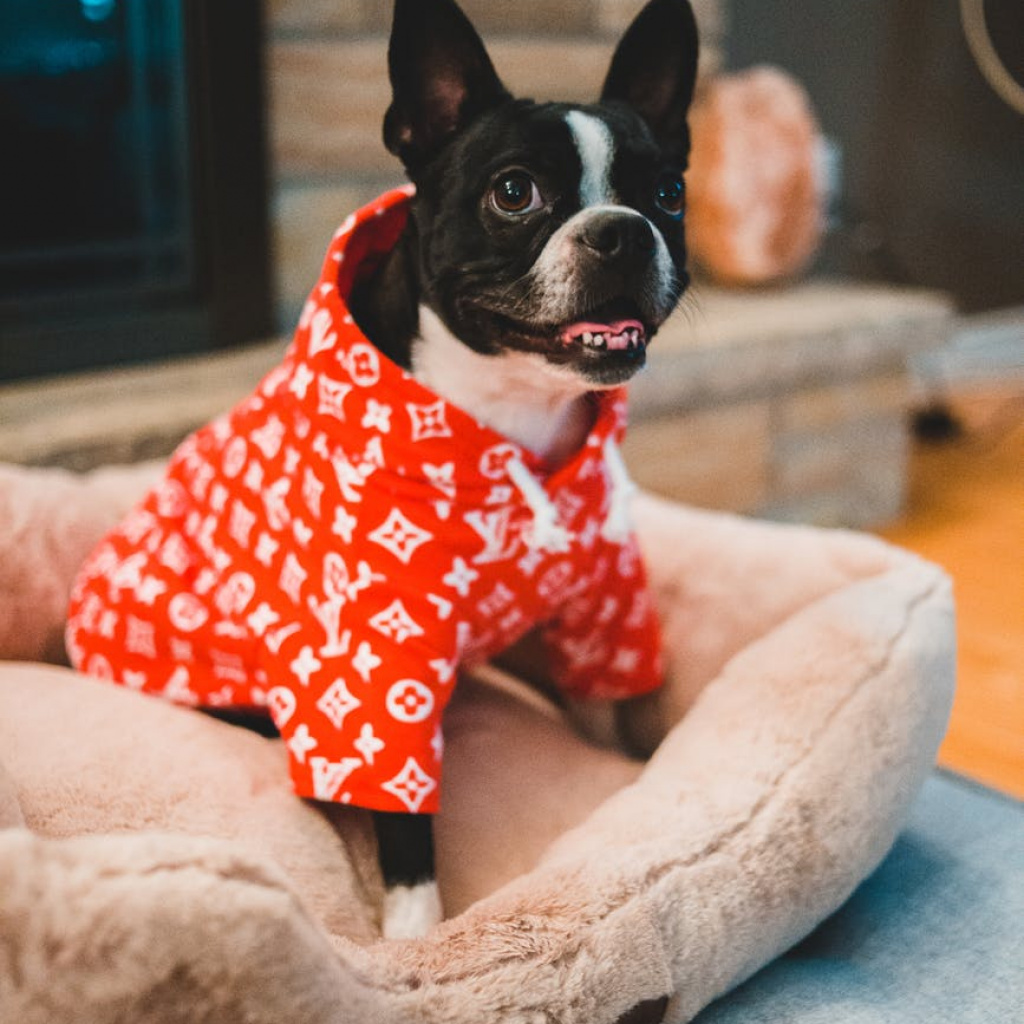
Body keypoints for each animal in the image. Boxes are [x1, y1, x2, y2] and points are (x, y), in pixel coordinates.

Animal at [356, 0, 700, 937]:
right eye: (514, 192)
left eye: (669, 195)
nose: (623, 231)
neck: (515, 406)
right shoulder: (381, 669)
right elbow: (402, 819)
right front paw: (413, 940)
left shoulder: (596, 601)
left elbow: (598, 704)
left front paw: (610, 761)